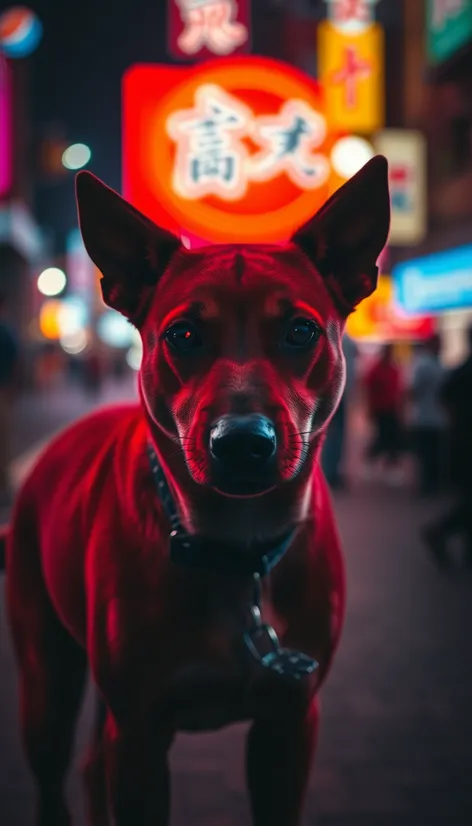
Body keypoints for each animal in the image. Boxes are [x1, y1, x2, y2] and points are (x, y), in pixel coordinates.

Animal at [1, 156, 390, 824]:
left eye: (300, 331)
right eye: (182, 335)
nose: (243, 442)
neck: (237, 549)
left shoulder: (290, 725)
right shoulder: (138, 734)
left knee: (91, 764)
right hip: (46, 680)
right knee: (54, 773)